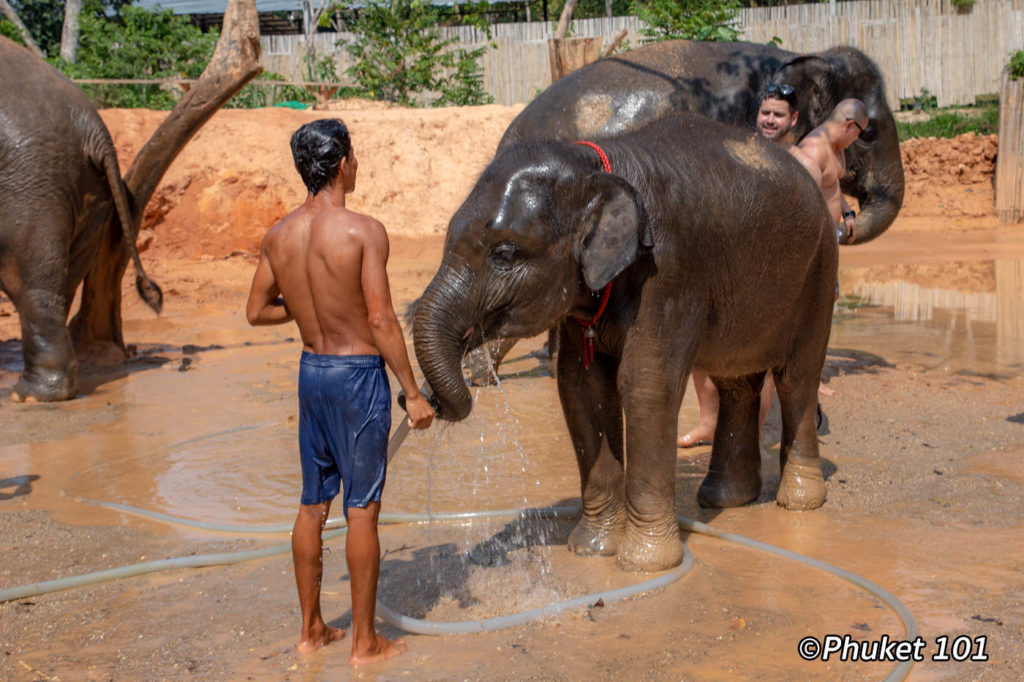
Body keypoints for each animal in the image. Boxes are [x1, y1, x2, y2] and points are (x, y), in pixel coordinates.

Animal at [0, 35, 161, 399]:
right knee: (64, 282)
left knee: (30, 282)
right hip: (87, 191)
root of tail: (95, 130)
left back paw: (29, 396)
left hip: (31, 182)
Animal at [411, 112, 835, 569]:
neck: (595, 167)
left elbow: (646, 385)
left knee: (796, 379)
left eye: (505, 253)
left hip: (820, 269)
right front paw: (591, 549)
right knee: (736, 382)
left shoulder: (669, 269)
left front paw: (644, 563)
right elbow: (582, 389)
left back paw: (800, 502)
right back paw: (726, 498)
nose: (424, 401)